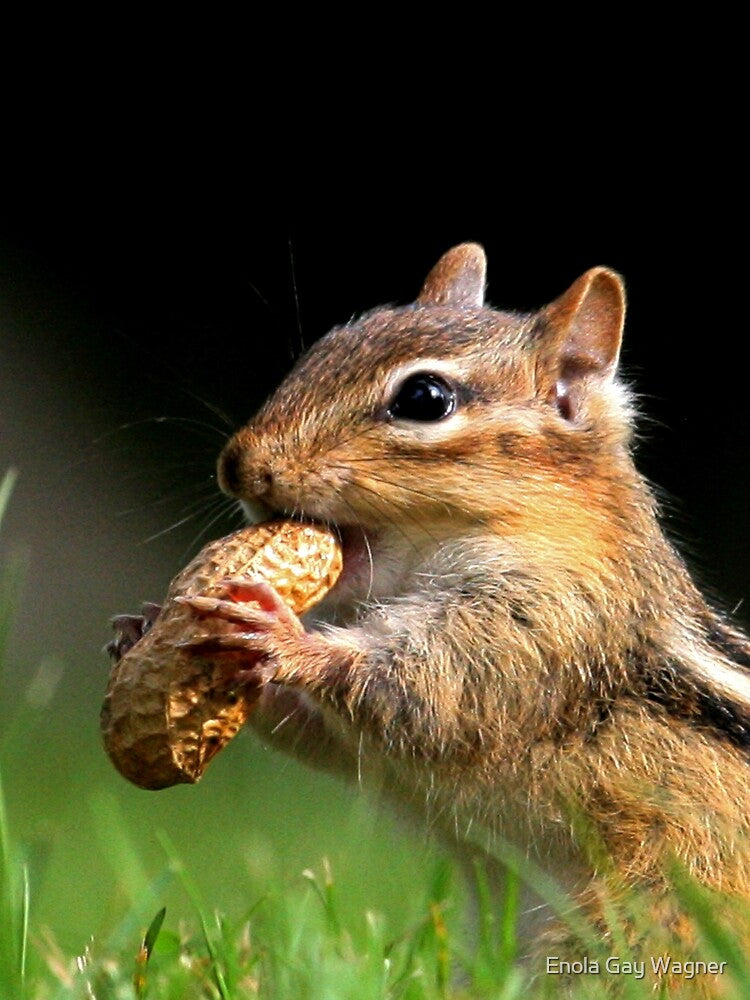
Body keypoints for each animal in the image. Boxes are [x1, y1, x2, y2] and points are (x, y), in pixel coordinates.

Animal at [126, 245, 750, 981]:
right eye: (322, 350)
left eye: (424, 399)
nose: (236, 466)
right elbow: (335, 739)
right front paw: (146, 629)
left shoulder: (545, 625)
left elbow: (427, 696)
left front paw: (282, 636)